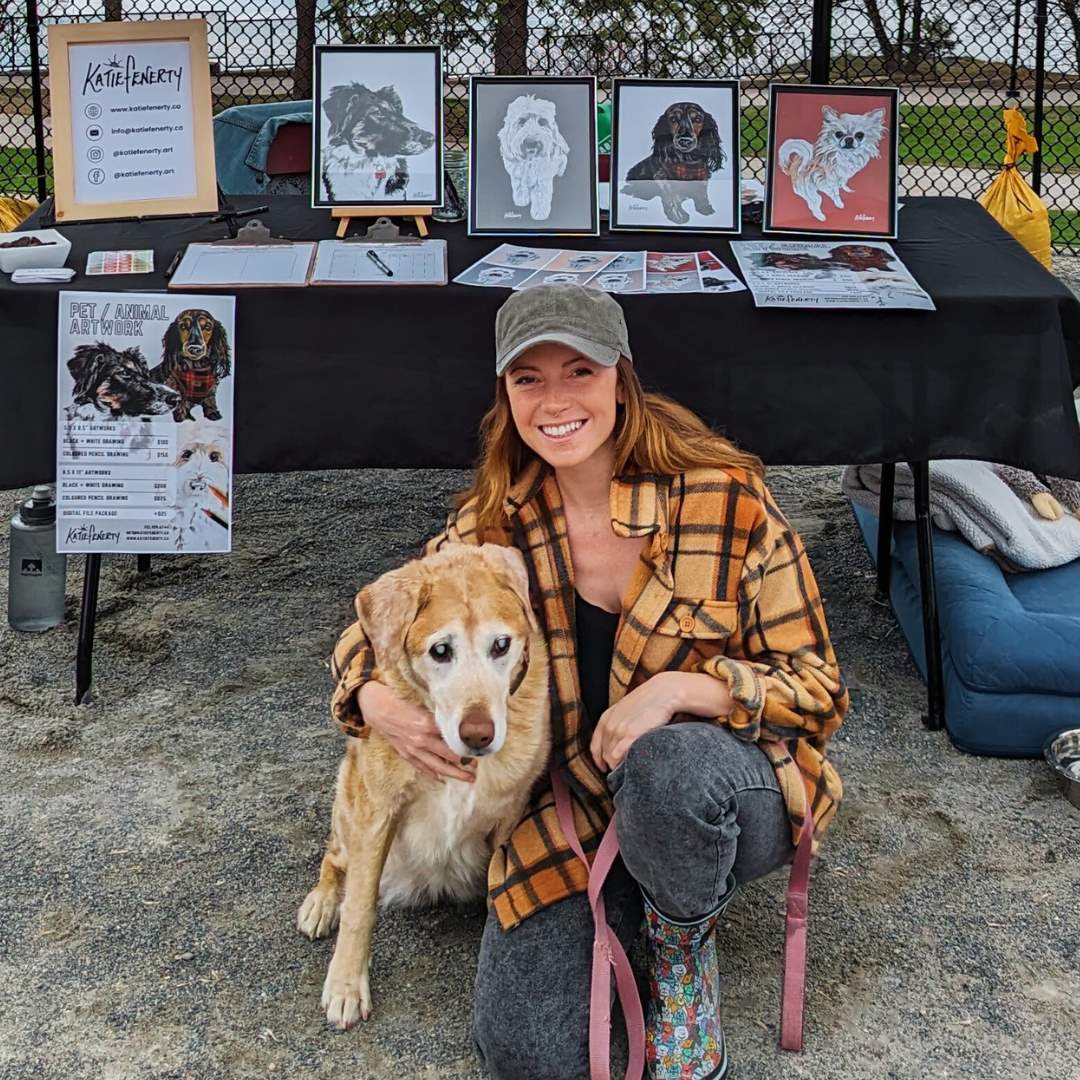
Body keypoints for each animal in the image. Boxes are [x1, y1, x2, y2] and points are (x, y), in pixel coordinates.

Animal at [295, 548, 548, 1028]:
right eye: (440, 650)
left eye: (501, 645)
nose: (479, 734)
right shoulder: (376, 814)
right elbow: (359, 908)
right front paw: (345, 985)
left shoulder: (509, 816)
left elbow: (497, 886)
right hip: (350, 805)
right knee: (334, 858)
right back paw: (321, 903)